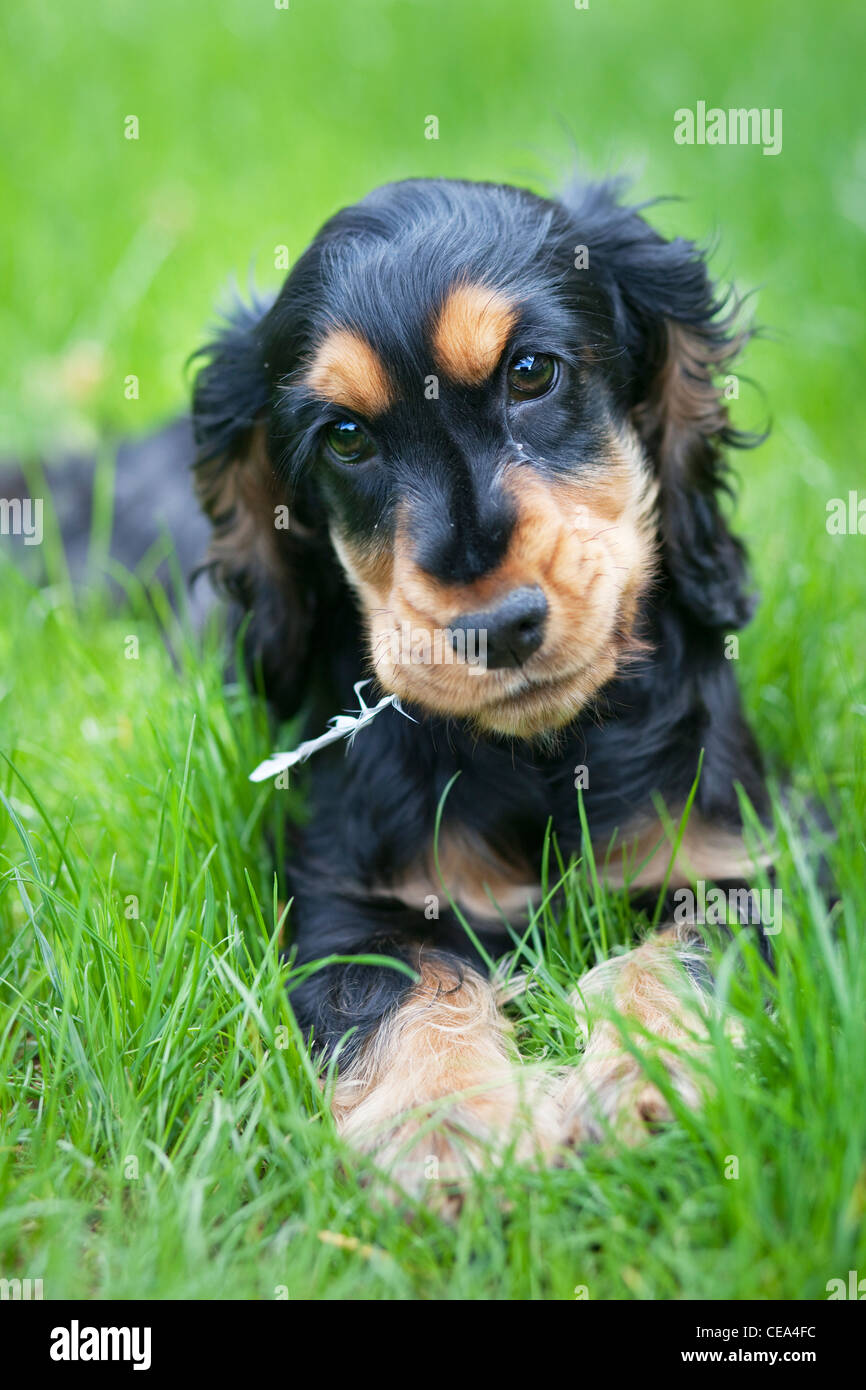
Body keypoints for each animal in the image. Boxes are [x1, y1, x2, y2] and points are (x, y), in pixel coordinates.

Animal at [191, 173, 772, 1195]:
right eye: (345, 437)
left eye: (532, 372)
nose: (494, 629)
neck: (540, 755)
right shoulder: (344, 897)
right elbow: (399, 987)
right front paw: (446, 1127)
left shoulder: (746, 858)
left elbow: (677, 956)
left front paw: (649, 1084)